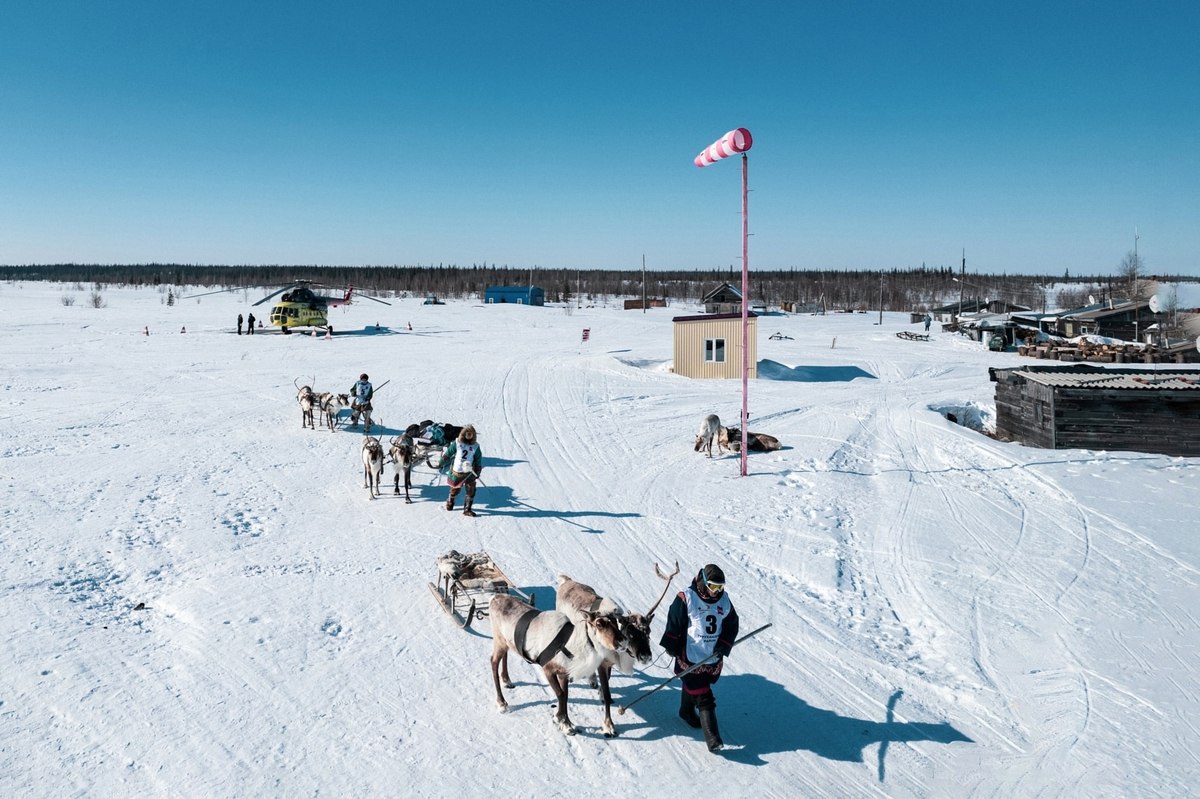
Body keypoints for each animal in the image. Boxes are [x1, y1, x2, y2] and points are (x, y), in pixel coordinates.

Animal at [489, 594, 626, 736]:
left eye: (616, 622)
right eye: (599, 624)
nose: (622, 642)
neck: (572, 646)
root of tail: (494, 598)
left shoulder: (563, 673)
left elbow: (565, 695)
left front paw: (563, 720)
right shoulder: (548, 669)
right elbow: (560, 694)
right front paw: (564, 723)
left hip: (506, 642)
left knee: (504, 656)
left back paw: (507, 681)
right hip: (499, 640)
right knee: (493, 662)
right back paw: (502, 703)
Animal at [555, 562, 679, 737]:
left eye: (648, 632)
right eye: (631, 633)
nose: (646, 656)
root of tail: (566, 581)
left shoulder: (609, 664)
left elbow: (607, 685)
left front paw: (600, 692)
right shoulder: (602, 664)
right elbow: (607, 695)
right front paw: (609, 726)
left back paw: (592, 681)